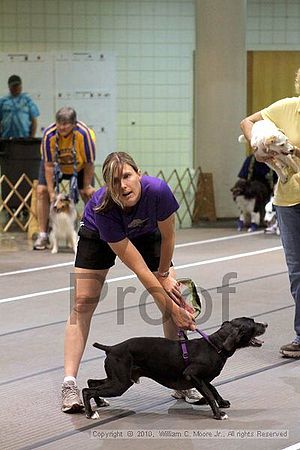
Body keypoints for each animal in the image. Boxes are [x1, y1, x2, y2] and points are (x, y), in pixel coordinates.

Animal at [82, 318, 268, 420]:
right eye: (252, 323)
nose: (266, 324)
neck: (215, 346)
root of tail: (111, 348)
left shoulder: (203, 379)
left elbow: (213, 389)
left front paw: (222, 402)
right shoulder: (192, 375)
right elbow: (209, 394)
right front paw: (218, 413)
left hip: (118, 379)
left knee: (91, 383)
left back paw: (99, 403)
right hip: (119, 384)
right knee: (86, 390)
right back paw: (90, 413)